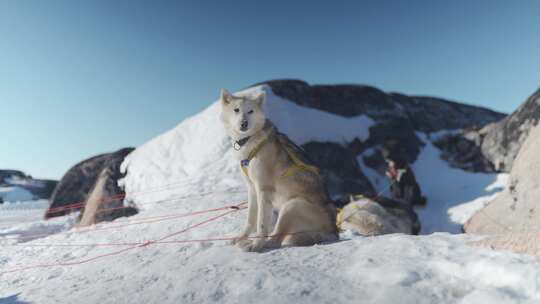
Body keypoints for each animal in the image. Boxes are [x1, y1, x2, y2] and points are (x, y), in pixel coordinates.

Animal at [219, 88, 338, 252]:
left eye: (250, 111)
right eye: (236, 110)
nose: (244, 123)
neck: (250, 141)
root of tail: (333, 231)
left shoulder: (263, 190)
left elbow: (261, 224)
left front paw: (256, 244)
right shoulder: (252, 189)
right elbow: (251, 220)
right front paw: (241, 237)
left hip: (291, 206)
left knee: (276, 240)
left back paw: (255, 245)